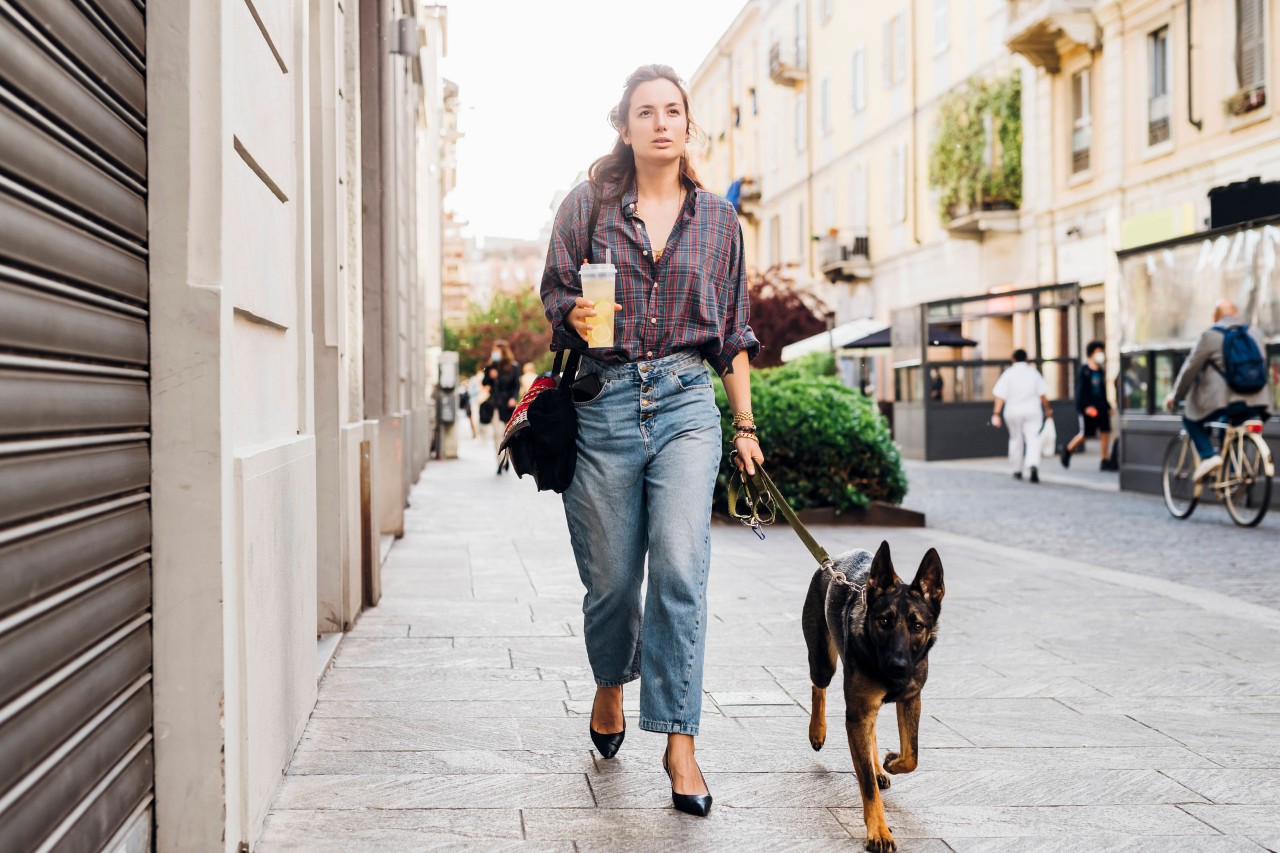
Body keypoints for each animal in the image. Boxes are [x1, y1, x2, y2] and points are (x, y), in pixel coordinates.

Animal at [803, 540, 947, 845]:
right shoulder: (858, 713)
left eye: (917, 626)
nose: (898, 666)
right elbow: (867, 784)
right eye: (883, 621)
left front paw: (890, 762)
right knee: (818, 686)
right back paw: (817, 731)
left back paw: (879, 766)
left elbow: (912, 755)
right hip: (822, 662)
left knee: (873, 732)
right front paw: (878, 830)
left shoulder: (910, 700)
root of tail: (833, 560)